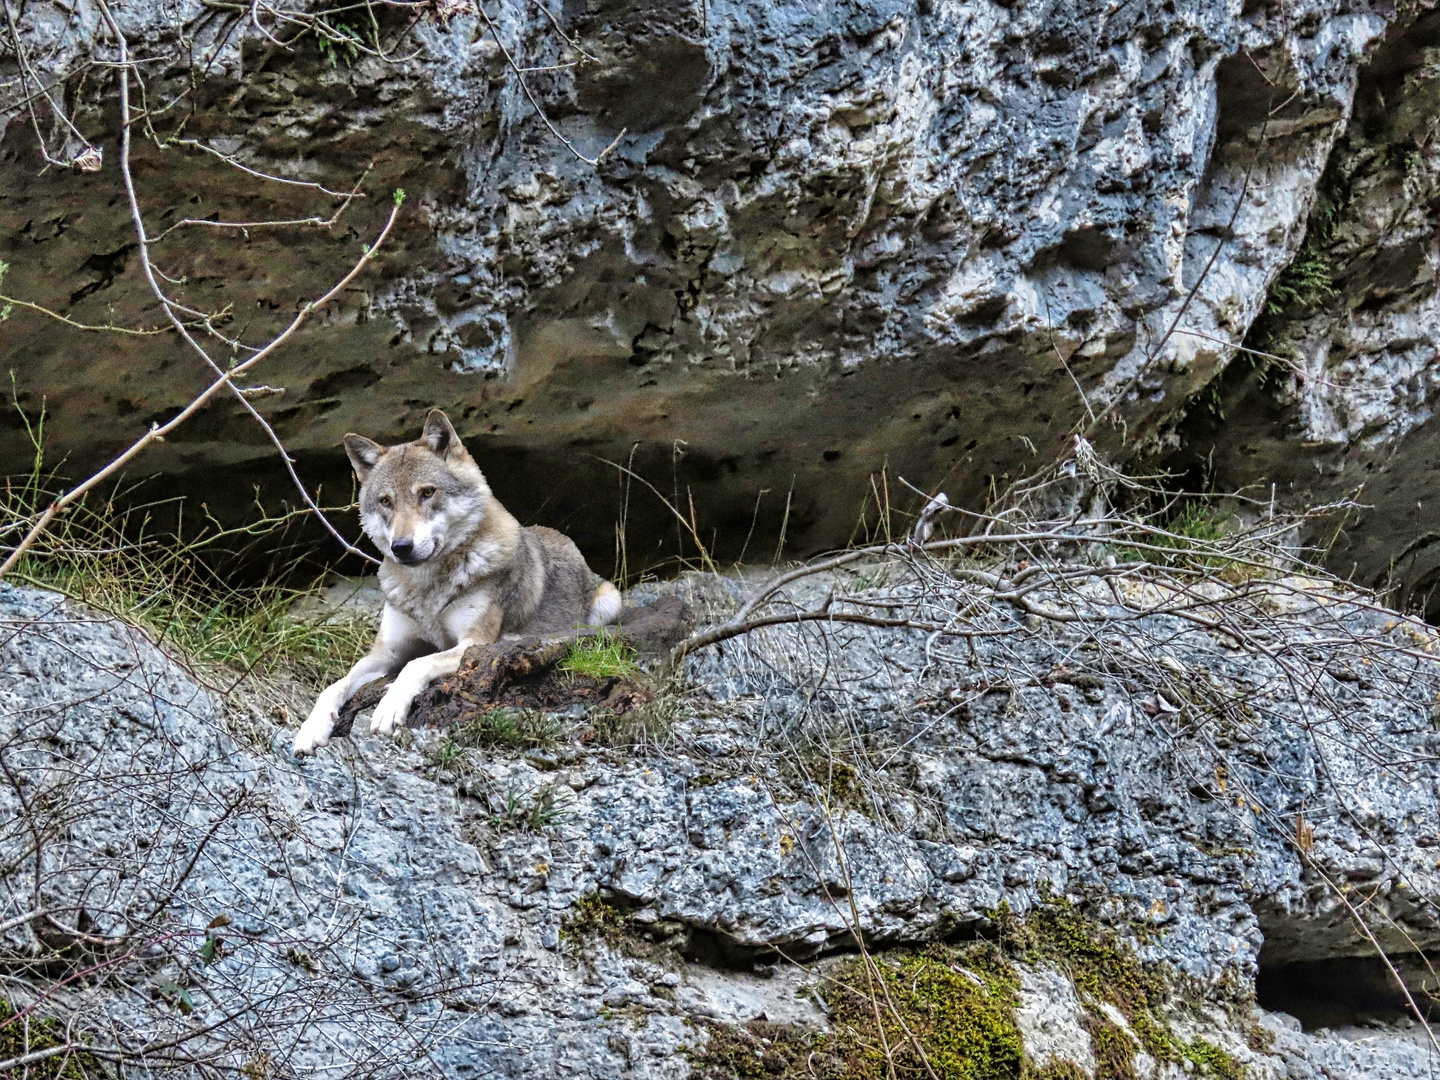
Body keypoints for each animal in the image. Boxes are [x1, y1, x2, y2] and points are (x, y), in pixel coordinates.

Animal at [289, 408, 622, 754]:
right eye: (385, 501)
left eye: (427, 492)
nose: (401, 547)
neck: (427, 589)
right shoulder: (384, 654)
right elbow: (334, 685)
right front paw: (311, 728)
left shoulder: (472, 643)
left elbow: (416, 664)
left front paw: (389, 707)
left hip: (610, 601)